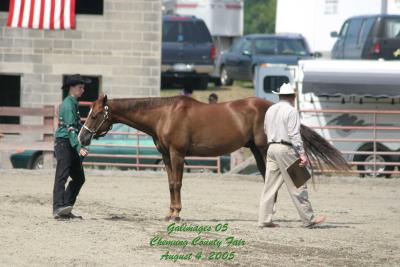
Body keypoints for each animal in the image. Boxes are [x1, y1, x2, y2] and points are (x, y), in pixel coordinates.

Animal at [77, 95, 346, 221]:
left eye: (95, 115)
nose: (82, 137)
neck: (165, 114)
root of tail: (270, 105)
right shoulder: (166, 156)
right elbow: (170, 184)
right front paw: (170, 213)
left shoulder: (177, 154)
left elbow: (177, 183)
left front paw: (176, 215)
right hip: (257, 150)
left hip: (262, 149)